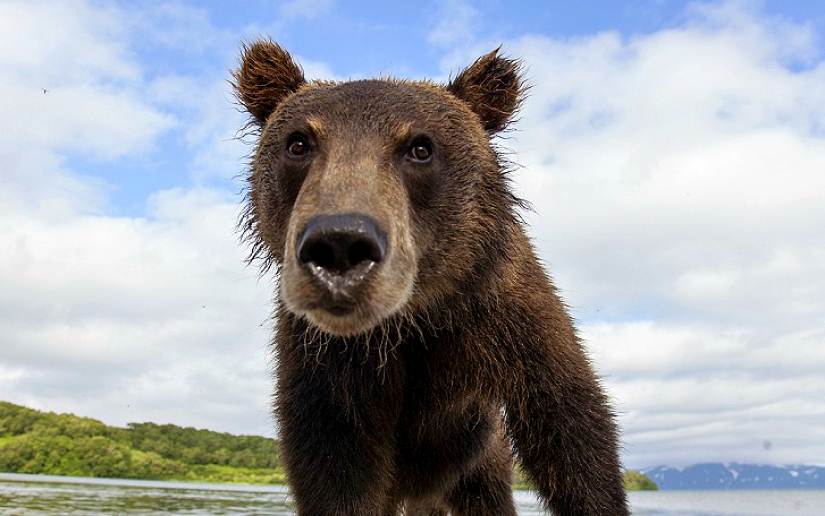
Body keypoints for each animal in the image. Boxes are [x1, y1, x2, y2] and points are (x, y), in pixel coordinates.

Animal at [233, 40, 628, 515]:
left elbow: (572, 433)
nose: (340, 244)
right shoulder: (328, 365)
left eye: (421, 147)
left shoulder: (508, 321)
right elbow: (336, 469)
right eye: (298, 143)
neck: (413, 320)